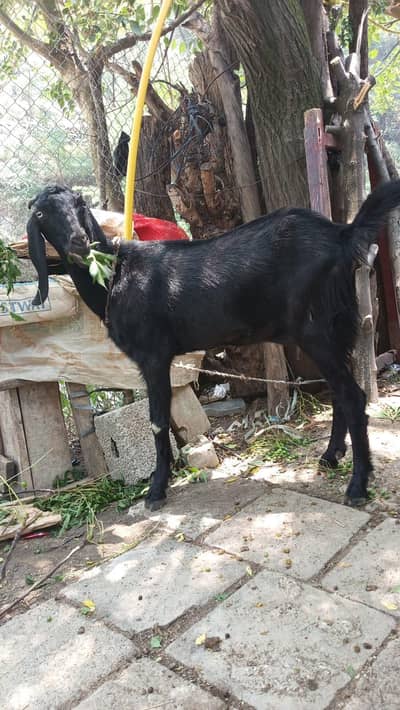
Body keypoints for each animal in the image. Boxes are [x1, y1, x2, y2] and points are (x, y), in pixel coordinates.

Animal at [27, 182, 400, 510]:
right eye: (41, 214)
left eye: (79, 203)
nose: (79, 242)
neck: (116, 276)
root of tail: (341, 236)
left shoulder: (153, 356)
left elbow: (157, 422)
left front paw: (157, 490)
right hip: (337, 328)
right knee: (340, 392)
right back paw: (330, 456)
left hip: (317, 330)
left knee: (353, 396)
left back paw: (357, 485)